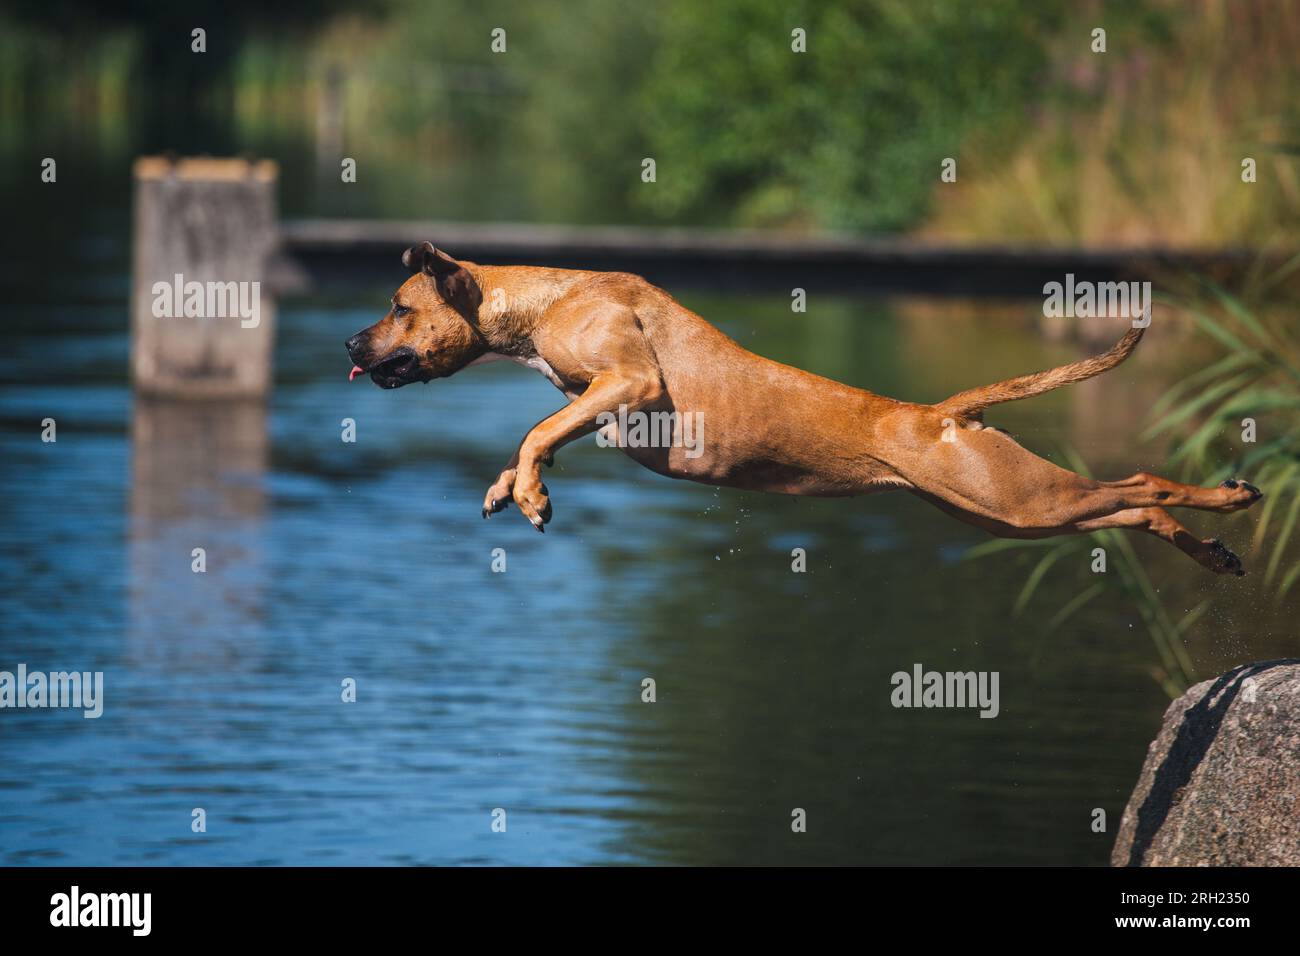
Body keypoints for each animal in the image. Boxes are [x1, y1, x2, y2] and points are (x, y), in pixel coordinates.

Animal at [345, 244, 1258, 574]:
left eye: (397, 306)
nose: (350, 343)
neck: (545, 299)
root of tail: (943, 412)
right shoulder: (596, 403)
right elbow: (538, 434)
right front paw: (513, 487)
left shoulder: (630, 385)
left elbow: (535, 428)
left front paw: (530, 491)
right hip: (1006, 510)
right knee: (1126, 509)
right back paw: (1209, 549)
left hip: (1020, 500)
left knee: (1140, 484)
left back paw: (1226, 498)